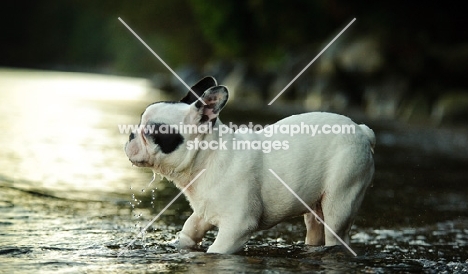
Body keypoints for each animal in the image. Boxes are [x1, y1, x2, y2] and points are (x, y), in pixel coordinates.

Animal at [124, 76, 372, 254]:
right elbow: (190, 229)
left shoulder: (237, 226)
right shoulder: (204, 212)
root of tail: (361, 130)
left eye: (153, 133)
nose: (131, 134)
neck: (208, 158)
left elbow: (216, 250)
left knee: (336, 234)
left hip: (341, 199)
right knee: (314, 229)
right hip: (314, 206)